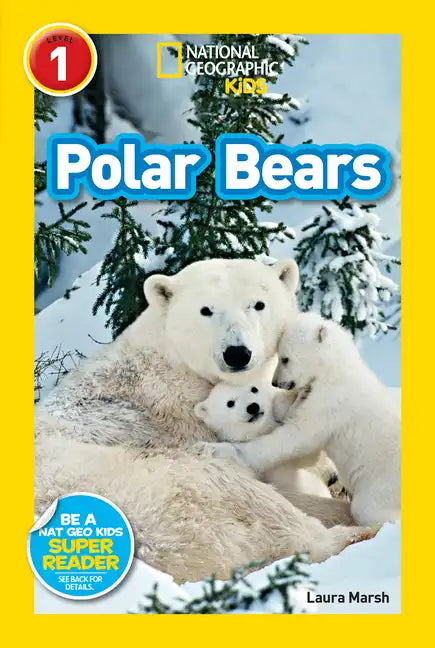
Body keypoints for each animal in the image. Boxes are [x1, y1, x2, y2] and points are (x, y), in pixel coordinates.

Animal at [35, 259, 376, 583]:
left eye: (258, 303)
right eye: (206, 310)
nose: (237, 353)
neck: (176, 366)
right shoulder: (187, 418)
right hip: (154, 490)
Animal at [207, 311, 400, 527]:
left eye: (285, 358)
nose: (276, 382)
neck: (335, 369)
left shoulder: (331, 401)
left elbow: (297, 436)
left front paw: (217, 449)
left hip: (381, 485)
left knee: (367, 509)